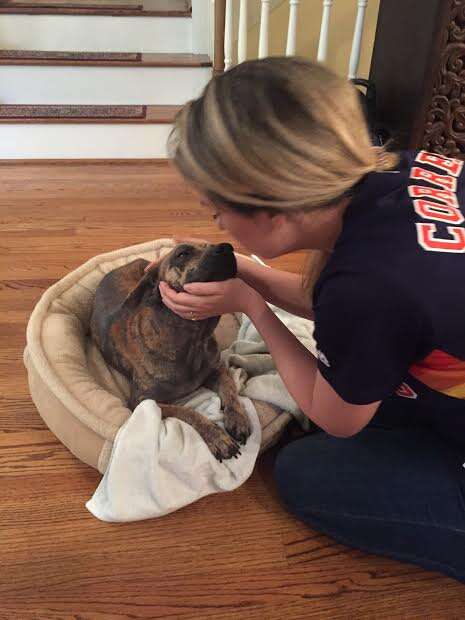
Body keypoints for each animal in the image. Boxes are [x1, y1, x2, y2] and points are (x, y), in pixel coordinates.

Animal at [89, 242, 252, 460]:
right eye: (182, 253)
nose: (227, 247)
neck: (192, 340)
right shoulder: (143, 402)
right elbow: (187, 412)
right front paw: (216, 436)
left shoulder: (216, 369)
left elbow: (229, 387)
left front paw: (237, 417)